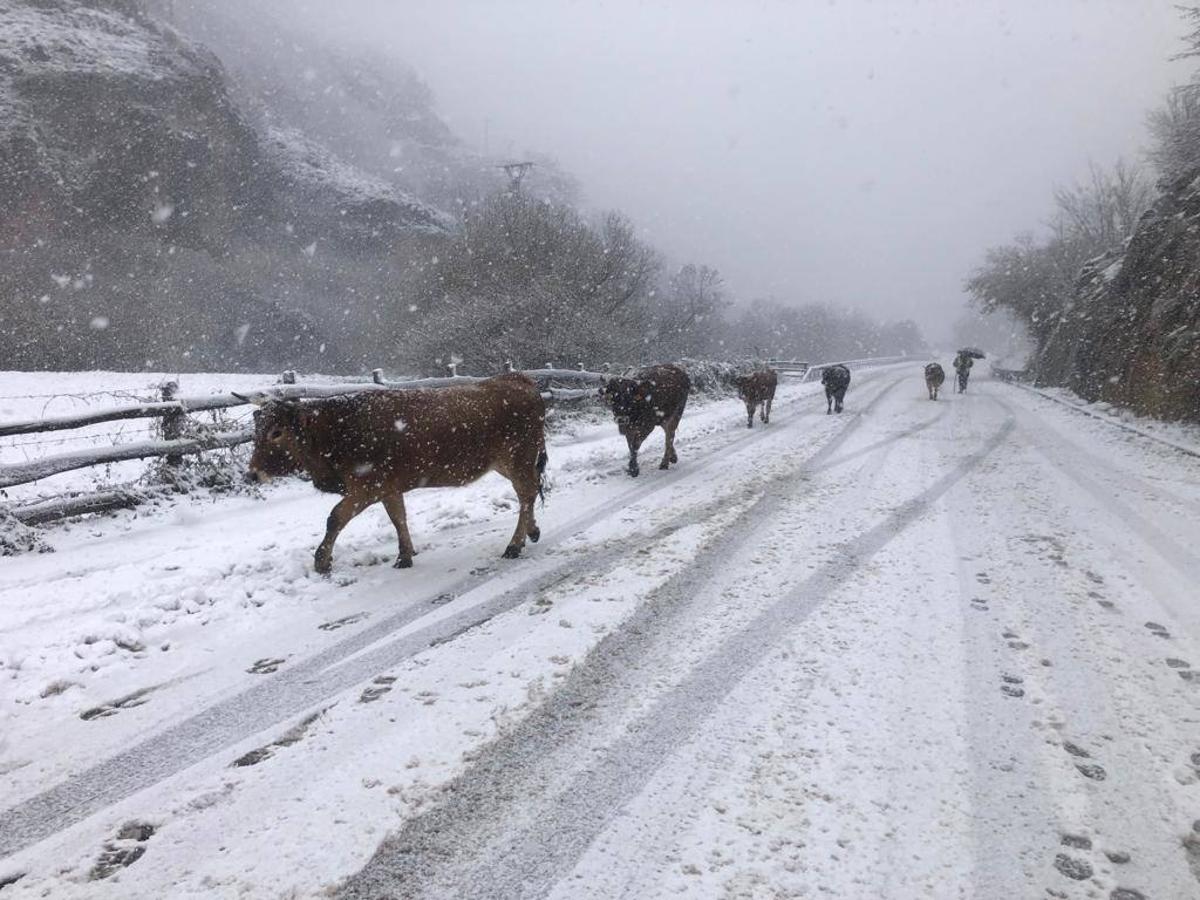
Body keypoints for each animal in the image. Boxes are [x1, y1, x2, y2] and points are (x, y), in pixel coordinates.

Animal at [240, 374, 549, 573]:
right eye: (257, 429)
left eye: (277, 432)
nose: (252, 474)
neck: (339, 431)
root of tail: (517, 379)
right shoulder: (389, 487)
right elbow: (398, 518)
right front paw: (405, 555)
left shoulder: (367, 487)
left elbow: (335, 518)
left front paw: (322, 561)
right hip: (508, 463)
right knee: (530, 492)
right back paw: (532, 531)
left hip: (518, 458)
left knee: (526, 494)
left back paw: (515, 544)